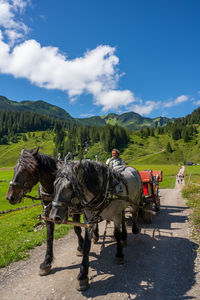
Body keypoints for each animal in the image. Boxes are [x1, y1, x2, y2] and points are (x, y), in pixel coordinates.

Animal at [49, 159, 141, 290]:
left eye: (70, 186)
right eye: (54, 185)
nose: (53, 217)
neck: (106, 190)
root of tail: (131, 168)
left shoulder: (116, 215)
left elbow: (116, 234)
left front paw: (119, 255)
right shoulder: (89, 219)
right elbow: (87, 244)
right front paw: (83, 275)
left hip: (135, 201)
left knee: (135, 213)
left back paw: (134, 229)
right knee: (124, 218)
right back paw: (124, 237)